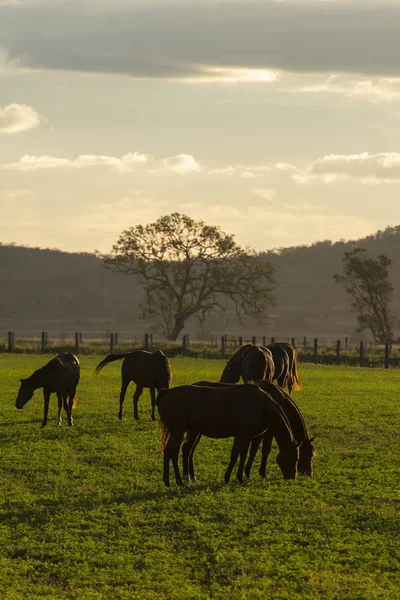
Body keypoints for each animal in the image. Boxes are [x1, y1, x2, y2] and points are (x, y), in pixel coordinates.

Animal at [157, 384, 300, 488]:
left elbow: (243, 455)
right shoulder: (241, 434)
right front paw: (227, 478)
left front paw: (240, 477)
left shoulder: (248, 436)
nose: (293, 476)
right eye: (296, 458)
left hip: (187, 432)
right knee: (173, 452)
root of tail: (166, 392)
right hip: (178, 432)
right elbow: (235, 455)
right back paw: (179, 481)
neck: (260, 406)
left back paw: (170, 480)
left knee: (174, 451)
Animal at [186, 380, 318, 482]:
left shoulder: (255, 434)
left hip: (197, 432)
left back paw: (192, 476)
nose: (308, 474)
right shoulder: (266, 433)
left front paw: (246, 474)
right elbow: (263, 451)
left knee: (190, 450)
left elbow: (249, 452)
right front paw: (258, 473)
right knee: (188, 449)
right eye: (309, 455)